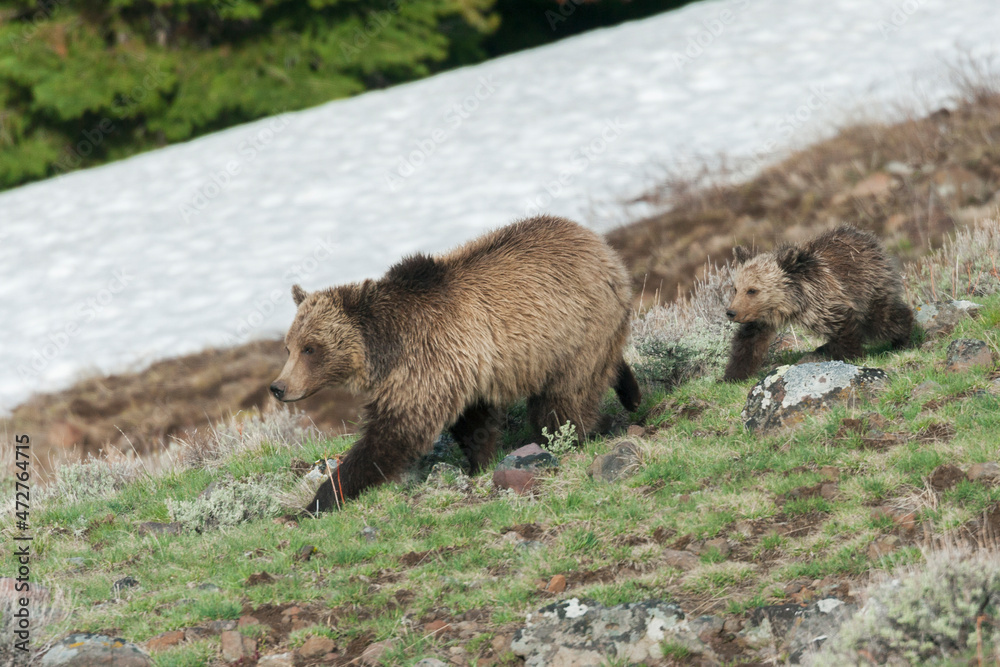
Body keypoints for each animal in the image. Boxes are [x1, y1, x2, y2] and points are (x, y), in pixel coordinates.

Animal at [270, 215, 642, 512]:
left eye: (311, 348)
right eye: (289, 347)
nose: (278, 387)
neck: (386, 347)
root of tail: (596, 240)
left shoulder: (427, 362)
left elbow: (395, 432)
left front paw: (321, 499)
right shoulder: (460, 367)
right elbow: (472, 423)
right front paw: (481, 461)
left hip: (574, 332)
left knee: (563, 399)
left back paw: (573, 433)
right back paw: (630, 393)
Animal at [722, 225, 913, 382]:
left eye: (752, 290)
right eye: (736, 288)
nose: (731, 312)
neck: (790, 303)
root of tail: (866, 237)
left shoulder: (825, 301)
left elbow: (843, 330)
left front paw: (849, 355)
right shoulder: (760, 318)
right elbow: (748, 342)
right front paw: (732, 375)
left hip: (867, 285)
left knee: (883, 319)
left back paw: (903, 339)